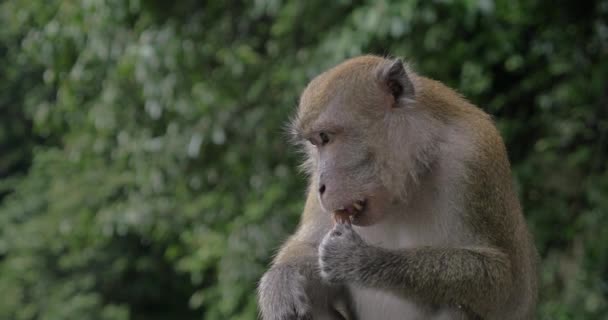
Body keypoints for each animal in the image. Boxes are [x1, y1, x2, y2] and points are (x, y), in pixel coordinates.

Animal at [256, 55, 536, 320]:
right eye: (314, 144)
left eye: (325, 138)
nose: (320, 187)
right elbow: (308, 246)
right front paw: (280, 281)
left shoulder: (474, 158)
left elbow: (503, 284)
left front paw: (363, 260)